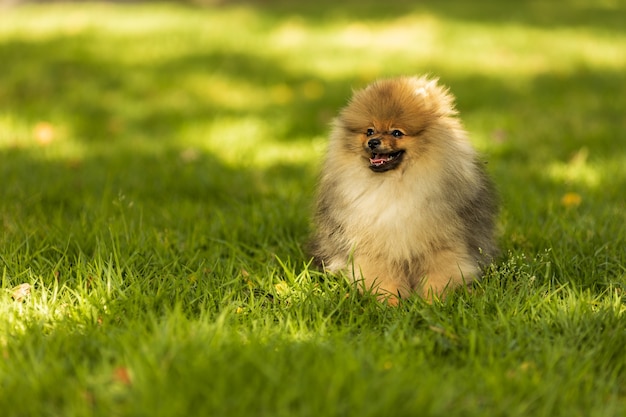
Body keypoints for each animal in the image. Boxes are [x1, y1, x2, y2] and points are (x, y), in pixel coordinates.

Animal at [308, 75, 498, 302]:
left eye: (397, 133)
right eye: (369, 131)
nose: (373, 142)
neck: (393, 185)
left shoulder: (442, 244)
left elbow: (440, 276)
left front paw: (433, 302)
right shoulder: (375, 248)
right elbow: (381, 278)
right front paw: (390, 303)